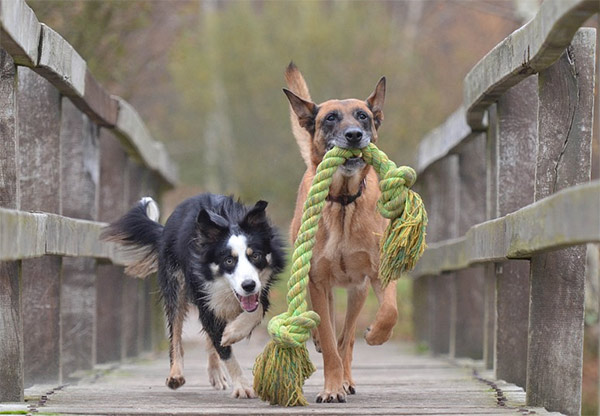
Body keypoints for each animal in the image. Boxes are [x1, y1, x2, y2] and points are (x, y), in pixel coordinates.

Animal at [102, 193, 286, 398]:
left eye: (255, 256)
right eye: (229, 261)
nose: (248, 285)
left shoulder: (261, 289)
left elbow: (256, 309)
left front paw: (233, 332)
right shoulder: (204, 296)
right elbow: (224, 349)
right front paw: (242, 386)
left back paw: (215, 372)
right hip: (175, 284)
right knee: (176, 331)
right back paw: (175, 375)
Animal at [282, 63, 396, 404]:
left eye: (363, 116)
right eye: (330, 118)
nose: (354, 135)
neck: (344, 202)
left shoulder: (378, 273)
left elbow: (389, 311)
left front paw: (376, 334)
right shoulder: (317, 280)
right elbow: (331, 343)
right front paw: (331, 389)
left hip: (357, 292)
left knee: (347, 338)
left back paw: (348, 377)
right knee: (331, 331)